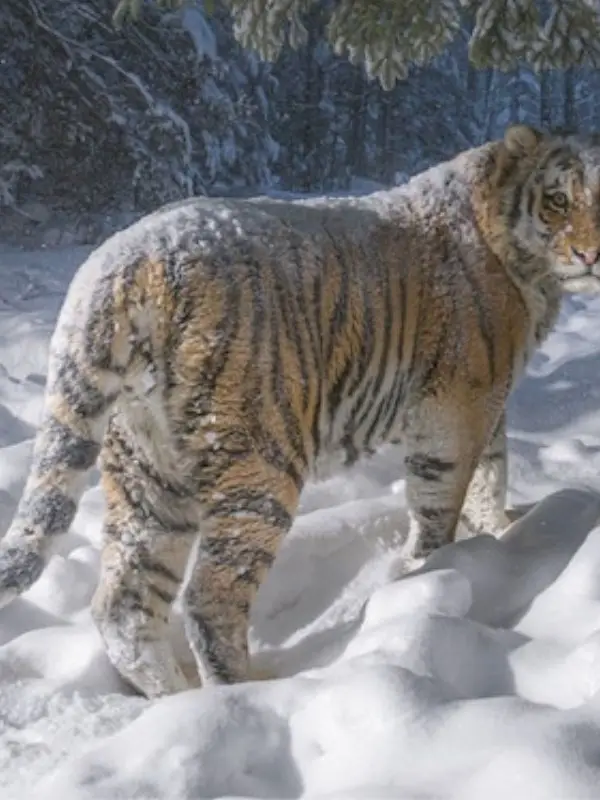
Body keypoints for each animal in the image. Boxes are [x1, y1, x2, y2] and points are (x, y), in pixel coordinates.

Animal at [0, 123, 599, 699]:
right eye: (558, 201)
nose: (590, 256)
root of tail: (117, 266)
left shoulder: (489, 402)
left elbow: (491, 473)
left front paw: (497, 533)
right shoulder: (457, 404)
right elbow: (444, 497)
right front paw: (432, 570)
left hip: (147, 470)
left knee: (124, 604)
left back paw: (173, 699)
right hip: (259, 462)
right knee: (210, 599)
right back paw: (241, 699)